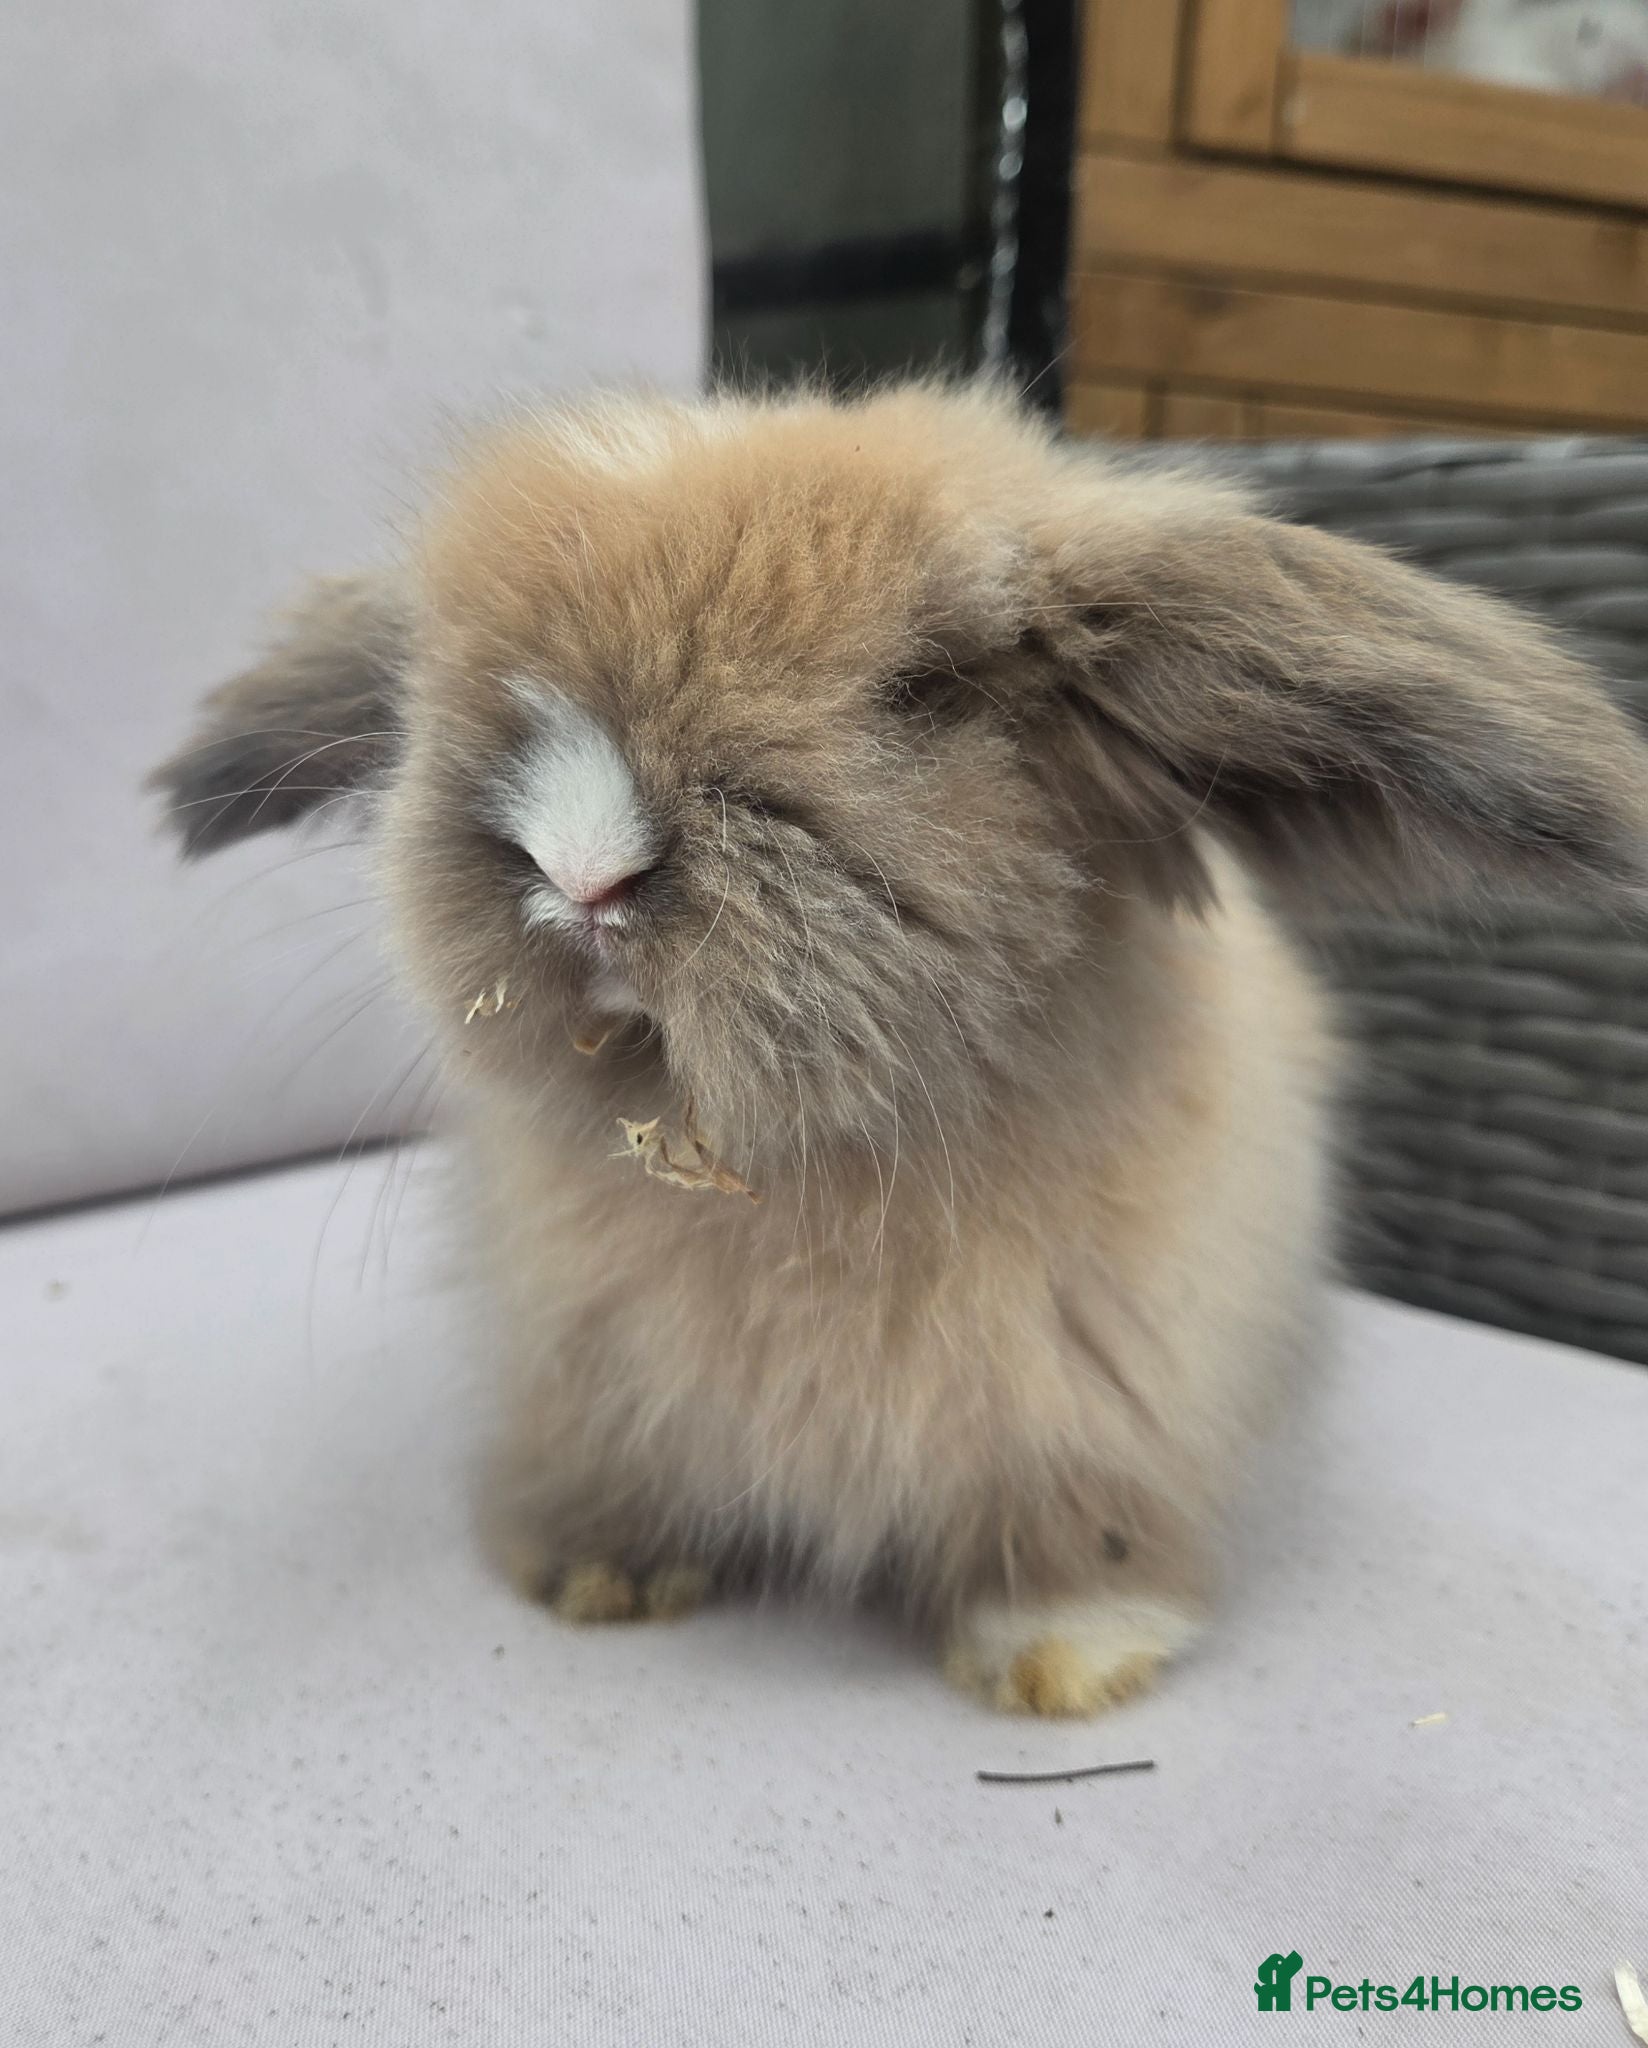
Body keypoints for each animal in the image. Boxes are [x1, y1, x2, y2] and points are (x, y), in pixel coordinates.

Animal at [151, 381, 1648, 1716]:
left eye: (927, 690)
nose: (581, 869)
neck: (792, 1169)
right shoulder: (584, 1365)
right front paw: (595, 1575)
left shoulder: (1098, 1392)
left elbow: (1078, 1532)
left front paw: (1065, 1657)